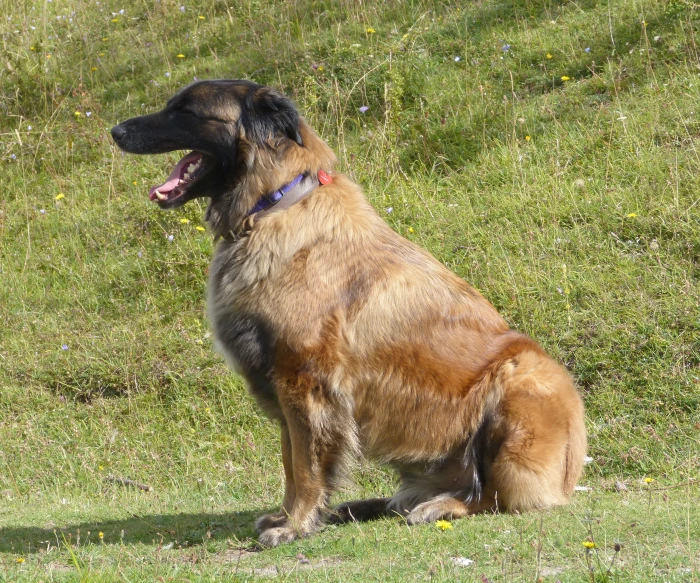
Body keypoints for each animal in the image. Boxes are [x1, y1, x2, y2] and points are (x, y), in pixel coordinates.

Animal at [112, 80, 588, 548]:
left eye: (185, 111)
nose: (115, 131)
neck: (273, 204)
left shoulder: (303, 383)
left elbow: (305, 466)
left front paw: (295, 524)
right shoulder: (285, 390)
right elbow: (290, 462)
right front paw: (291, 516)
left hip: (519, 385)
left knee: (490, 495)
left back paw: (438, 507)